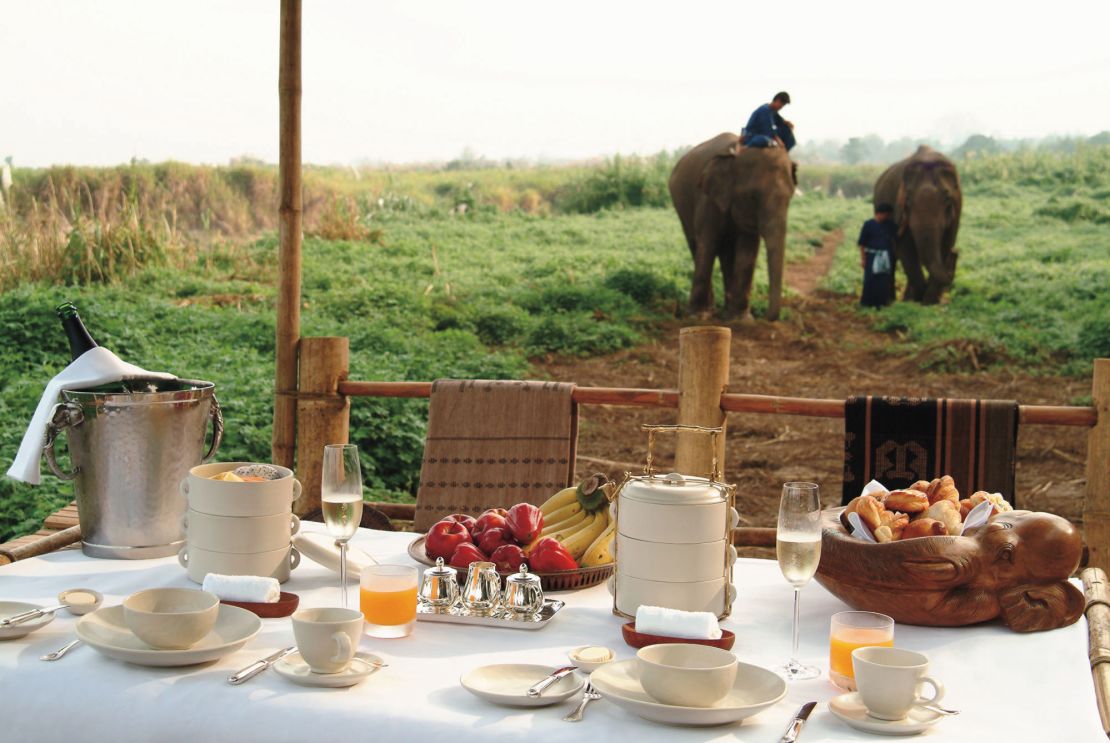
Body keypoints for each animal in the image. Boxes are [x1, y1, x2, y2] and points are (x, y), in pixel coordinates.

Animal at [670, 133, 794, 319]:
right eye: (752, 197)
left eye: (789, 199)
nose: (764, 315)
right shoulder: (708, 199)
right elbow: (708, 242)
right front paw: (697, 316)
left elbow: (748, 247)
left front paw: (741, 319)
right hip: (681, 206)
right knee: (696, 244)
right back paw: (709, 310)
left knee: (726, 251)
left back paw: (727, 310)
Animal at [874, 144, 963, 302]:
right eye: (908, 200)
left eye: (948, 199)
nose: (956, 252)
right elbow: (905, 247)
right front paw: (917, 299)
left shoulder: (957, 209)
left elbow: (946, 244)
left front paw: (929, 302)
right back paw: (894, 301)